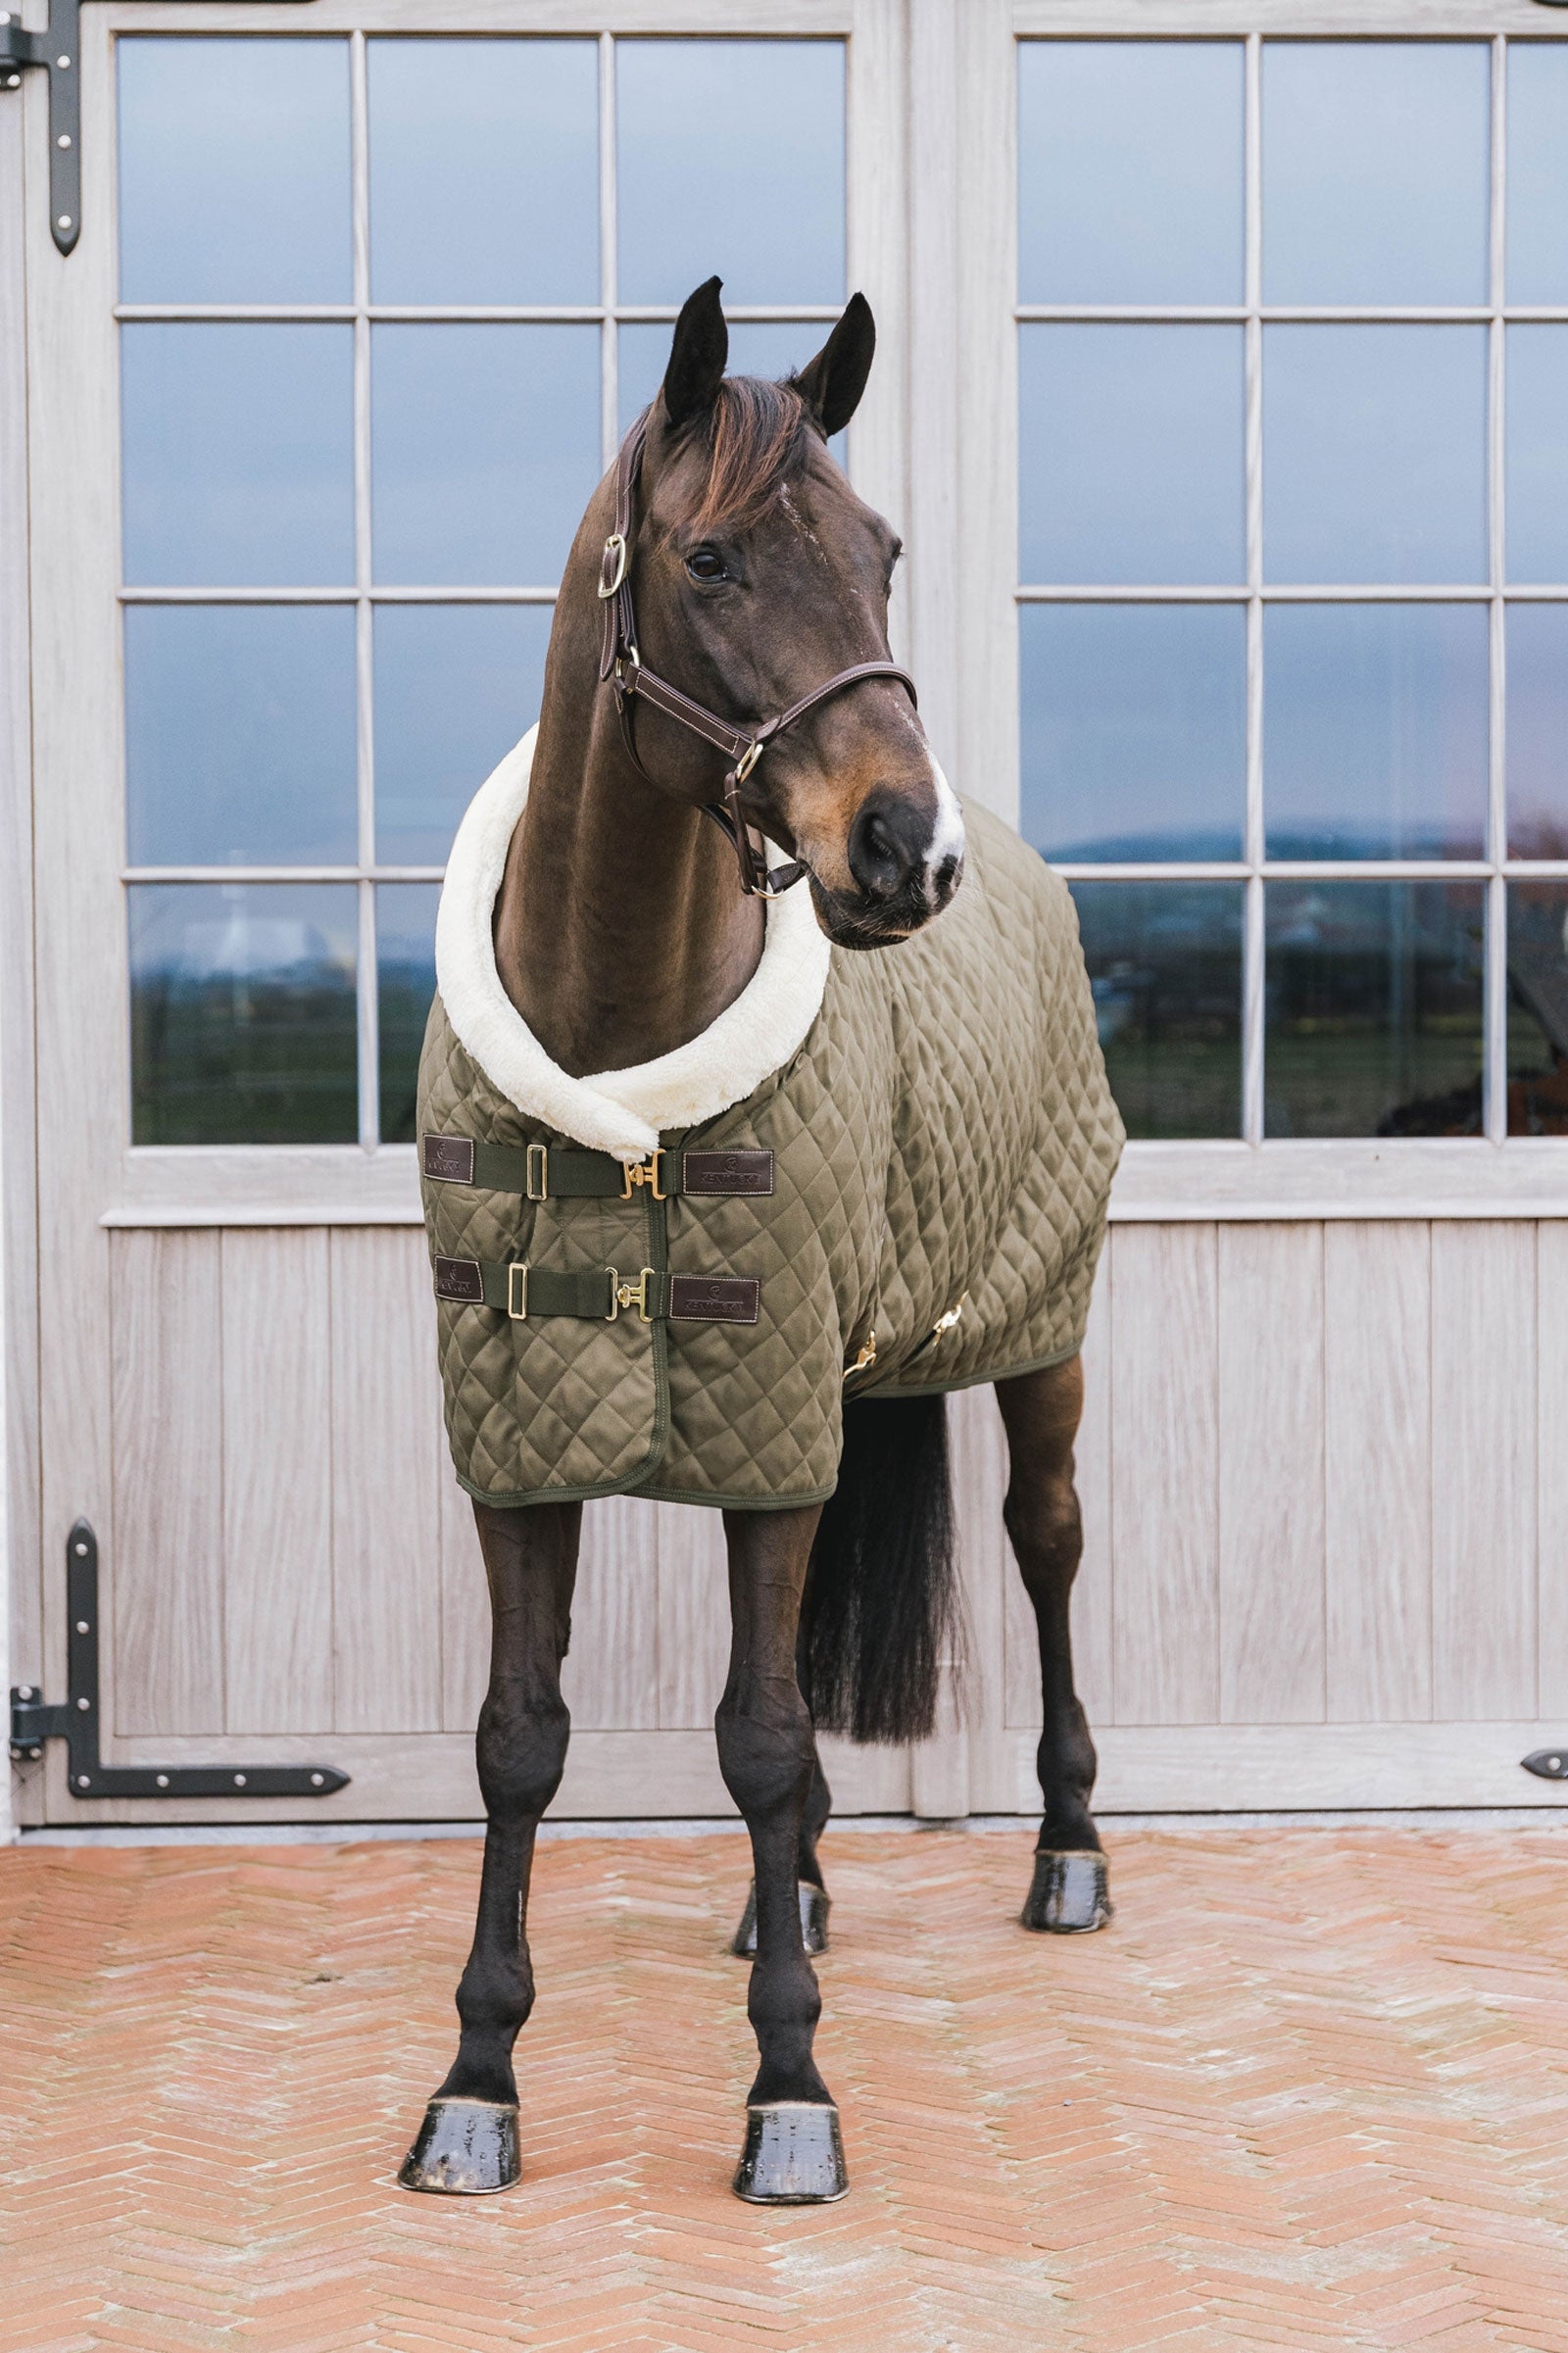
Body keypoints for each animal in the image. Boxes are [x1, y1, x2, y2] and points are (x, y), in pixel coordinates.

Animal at [399, 277, 1123, 2206]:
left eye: (881, 550)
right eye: (711, 557)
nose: (905, 849)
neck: (614, 1079)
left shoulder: (771, 1418)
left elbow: (766, 1733)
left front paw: (790, 2088)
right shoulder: (523, 1436)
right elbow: (526, 1736)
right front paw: (476, 2080)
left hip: (1039, 1334)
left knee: (1045, 1547)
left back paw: (1070, 1852)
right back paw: (783, 1899)